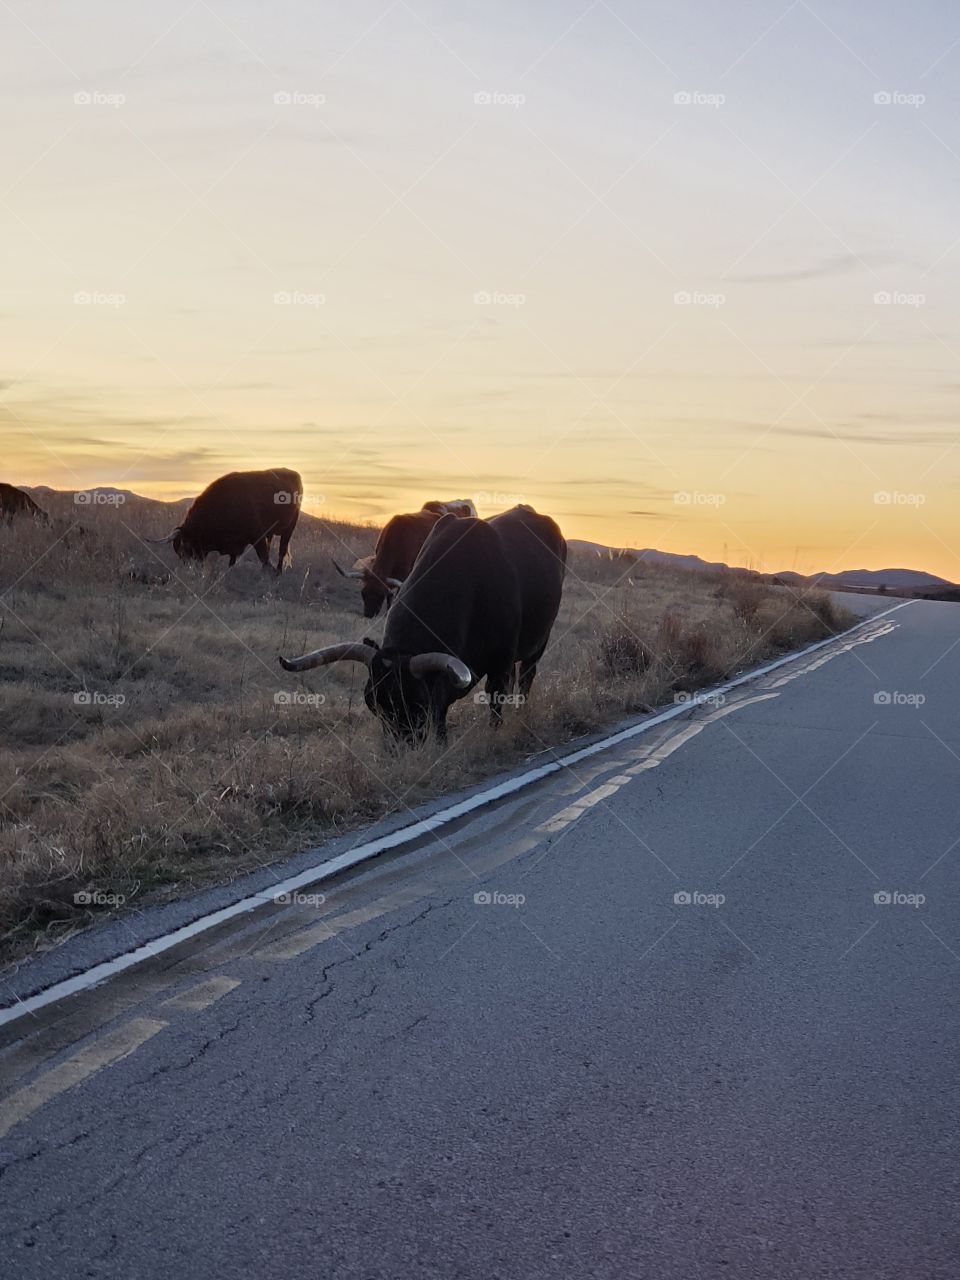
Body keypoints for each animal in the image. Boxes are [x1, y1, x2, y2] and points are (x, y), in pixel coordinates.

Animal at [150, 468, 302, 573]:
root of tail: (293, 473)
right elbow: (232, 562)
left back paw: (278, 572)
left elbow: (264, 558)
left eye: (186, 547)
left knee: (282, 551)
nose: (189, 569)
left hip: (290, 527)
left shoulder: (257, 537)